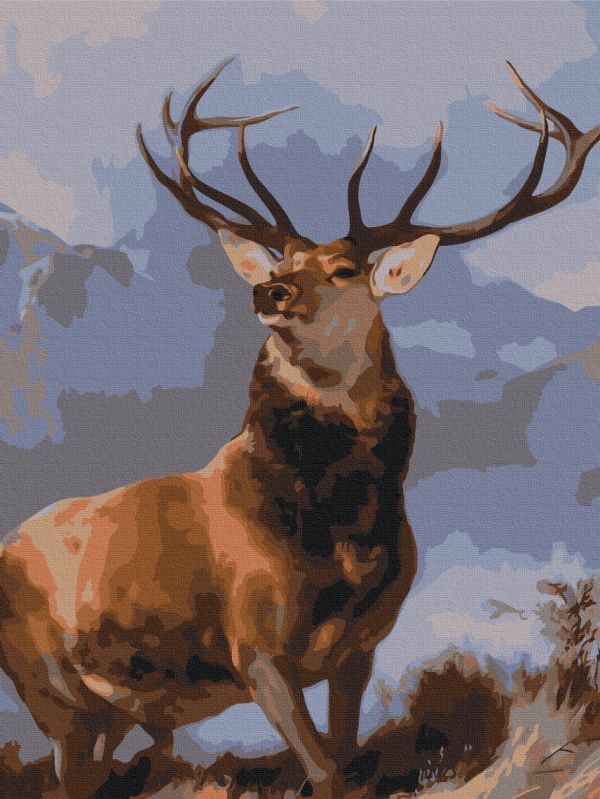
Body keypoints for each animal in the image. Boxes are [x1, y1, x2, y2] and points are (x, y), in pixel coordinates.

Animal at [0, 59, 599, 799]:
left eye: (343, 270)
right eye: (280, 265)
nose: (269, 291)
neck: (342, 540)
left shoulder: (360, 648)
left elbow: (346, 761)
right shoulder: (255, 645)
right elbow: (325, 772)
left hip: (106, 711)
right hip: (51, 689)